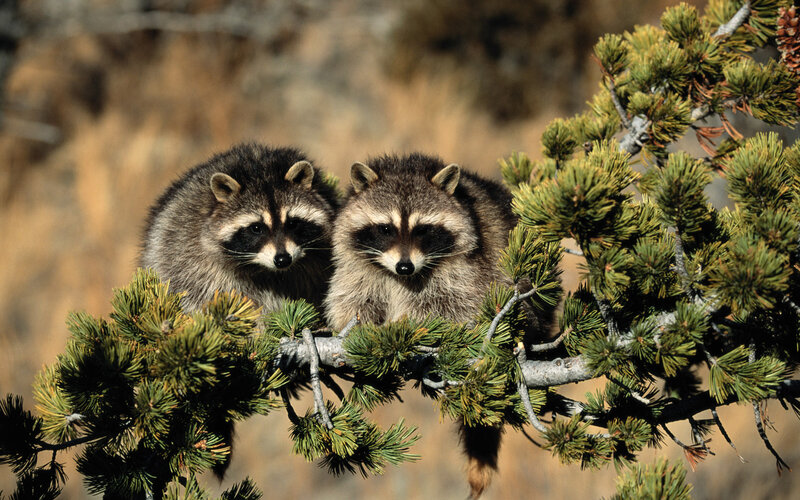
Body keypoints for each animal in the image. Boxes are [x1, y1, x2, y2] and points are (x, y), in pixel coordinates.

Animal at [324, 152, 516, 497]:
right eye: (385, 228)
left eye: (424, 229)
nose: (404, 266)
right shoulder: (358, 266)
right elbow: (352, 299)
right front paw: (361, 331)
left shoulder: (465, 270)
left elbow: (449, 307)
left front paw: (404, 330)